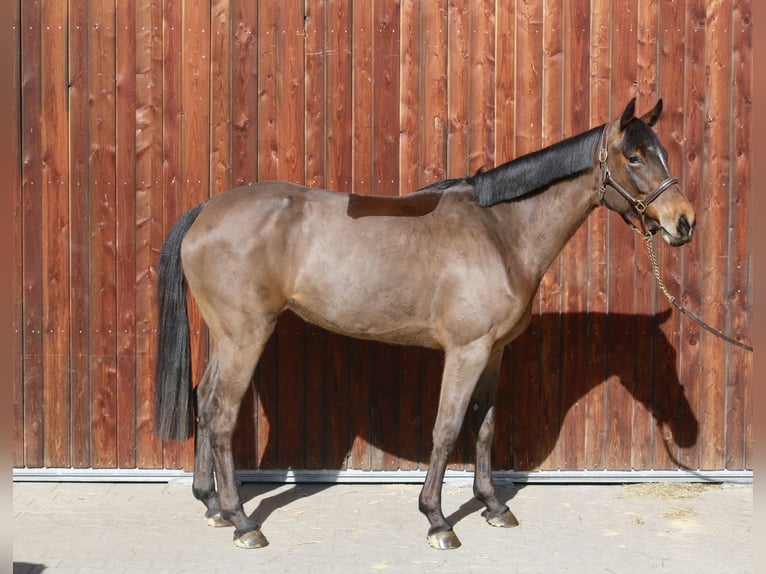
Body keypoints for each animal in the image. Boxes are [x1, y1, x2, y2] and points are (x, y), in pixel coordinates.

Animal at [154, 100, 696, 552]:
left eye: (662, 152)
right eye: (634, 158)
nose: (684, 222)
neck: (499, 233)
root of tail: (206, 212)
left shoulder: (494, 352)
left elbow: (484, 426)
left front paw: (494, 507)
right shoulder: (466, 351)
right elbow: (447, 427)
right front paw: (437, 520)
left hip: (228, 337)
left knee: (204, 401)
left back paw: (213, 506)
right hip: (246, 335)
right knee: (222, 414)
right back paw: (243, 521)